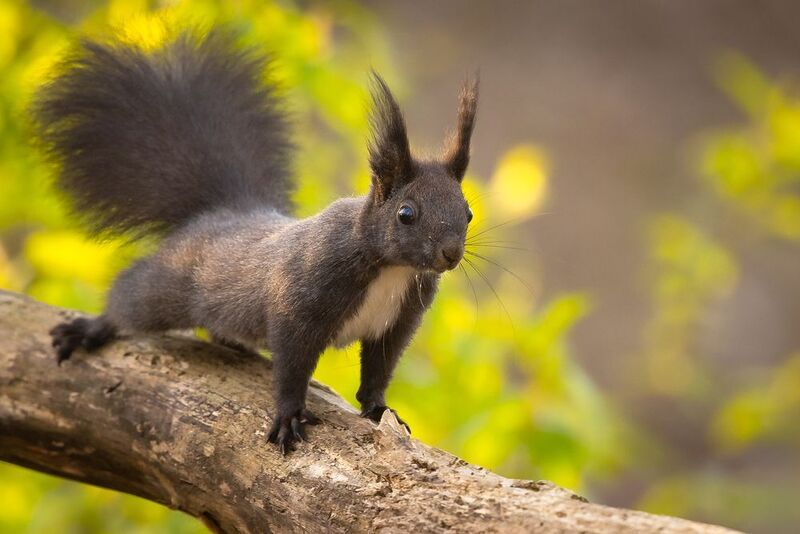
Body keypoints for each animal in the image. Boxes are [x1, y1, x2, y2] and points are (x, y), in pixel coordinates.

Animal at [34, 28, 478, 454]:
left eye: (468, 213)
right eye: (406, 214)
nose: (450, 254)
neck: (391, 267)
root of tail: (222, 212)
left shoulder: (397, 322)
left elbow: (378, 370)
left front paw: (379, 409)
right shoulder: (299, 301)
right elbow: (291, 367)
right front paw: (288, 417)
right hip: (168, 287)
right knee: (130, 299)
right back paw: (91, 328)